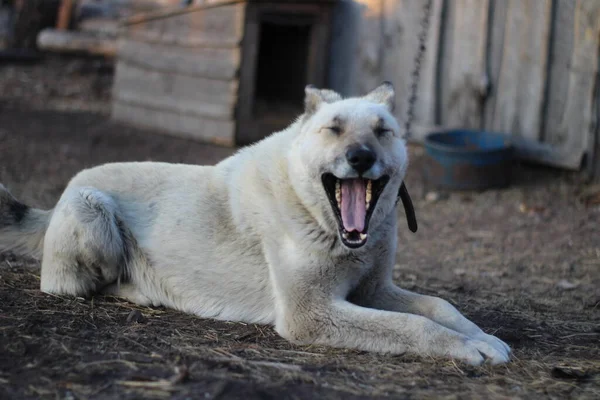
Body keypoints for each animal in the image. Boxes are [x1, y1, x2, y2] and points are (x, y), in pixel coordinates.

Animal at [0, 83, 510, 364]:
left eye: (383, 131)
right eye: (334, 129)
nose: (361, 157)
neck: (316, 212)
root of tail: (62, 194)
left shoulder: (373, 290)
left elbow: (439, 307)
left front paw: (483, 337)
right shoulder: (310, 315)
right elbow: (414, 326)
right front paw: (467, 348)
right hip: (95, 213)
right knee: (76, 286)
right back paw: (142, 289)